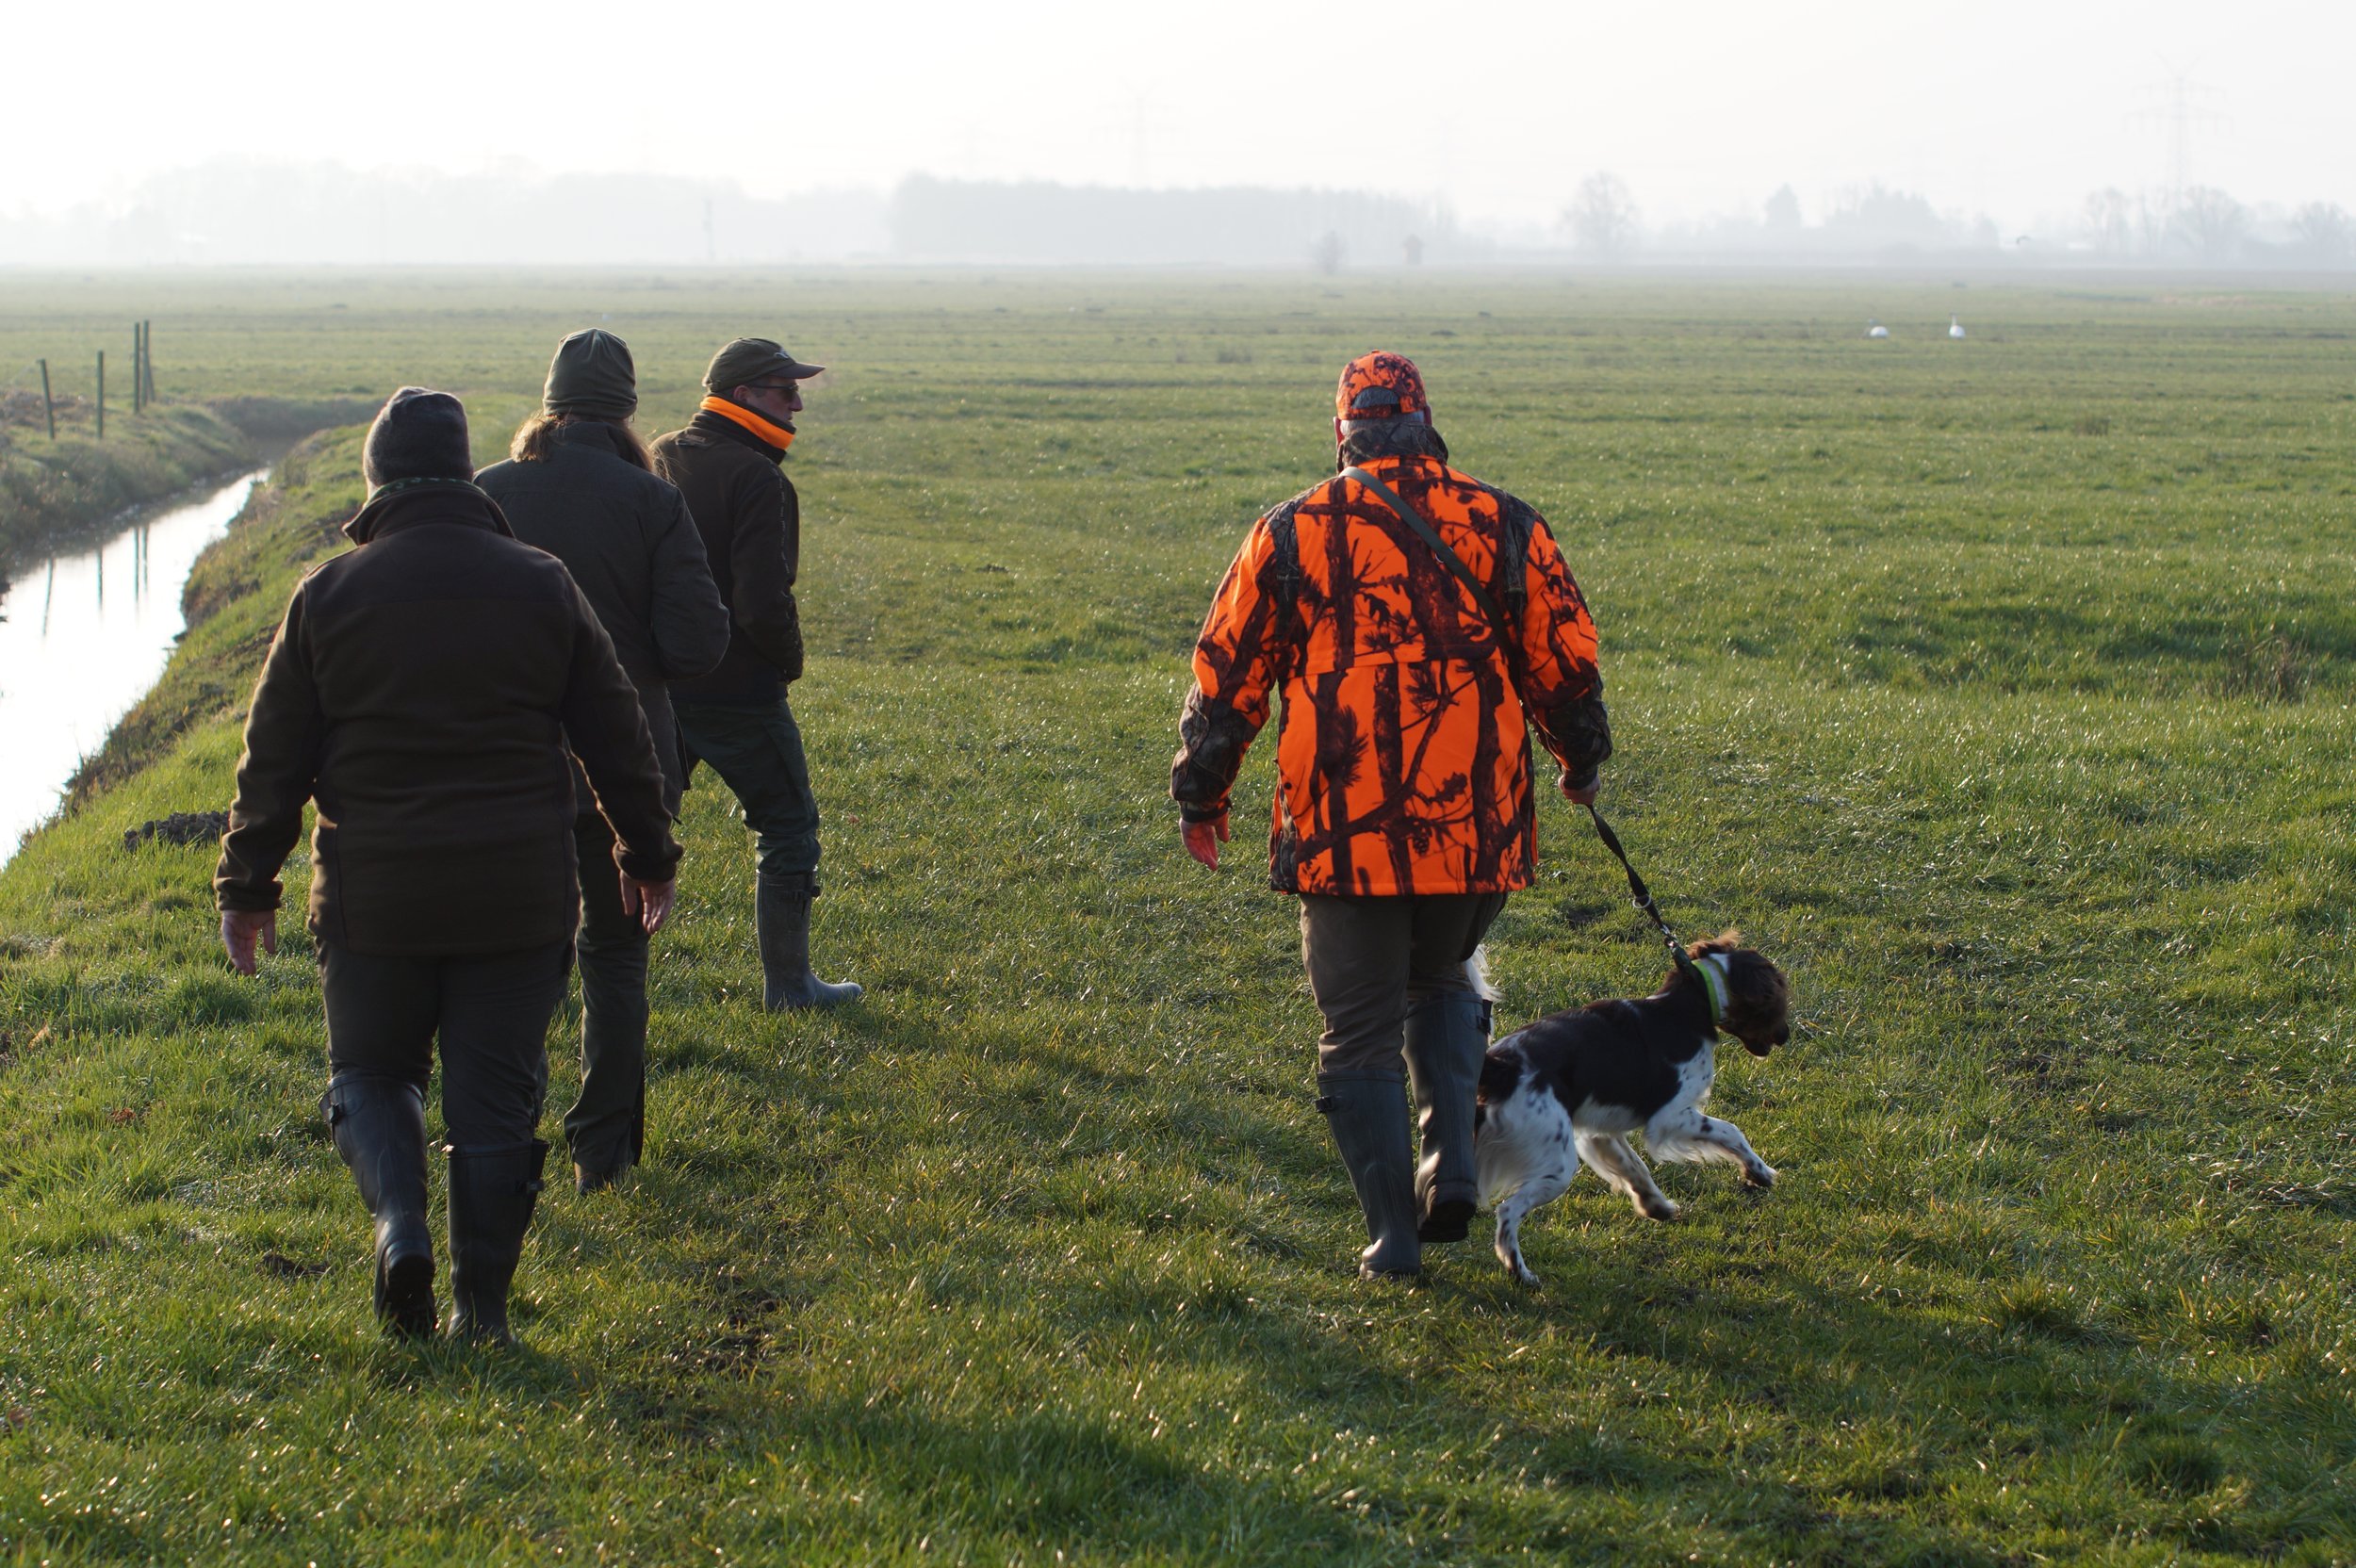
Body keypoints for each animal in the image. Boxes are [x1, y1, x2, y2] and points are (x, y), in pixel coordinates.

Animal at [1471, 932, 1790, 1286]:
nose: (1786, 1035)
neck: (1688, 1004)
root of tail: (1503, 1066)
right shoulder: (1670, 1116)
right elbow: (1731, 1131)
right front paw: (1760, 1172)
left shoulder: (1599, 1130)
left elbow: (1635, 1166)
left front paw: (1656, 1206)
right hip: (1557, 1165)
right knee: (1508, 1211)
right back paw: (1520, 1271)